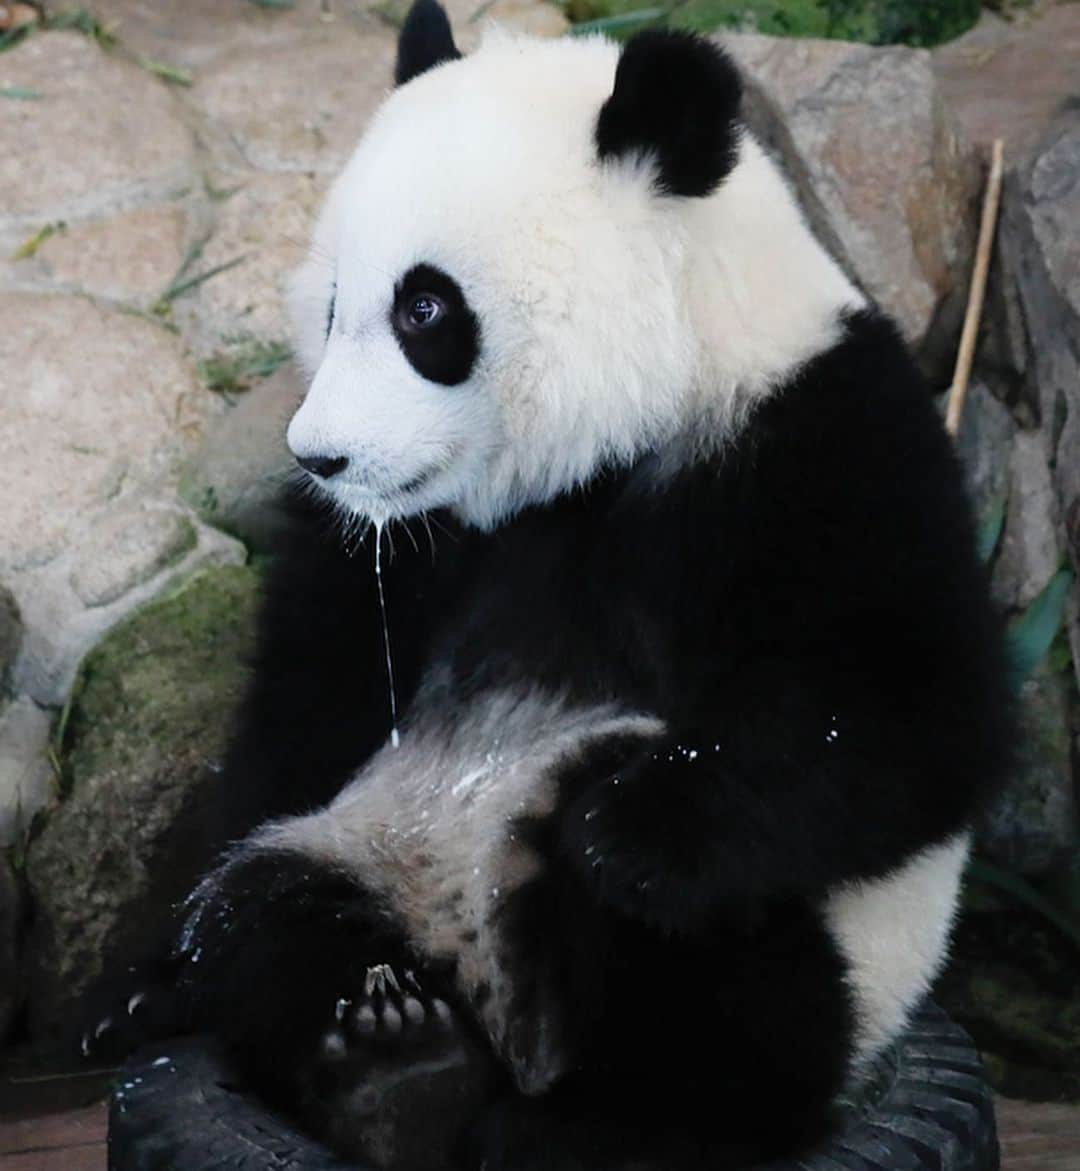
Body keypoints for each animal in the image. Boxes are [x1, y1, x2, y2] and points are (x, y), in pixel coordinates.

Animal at [88, 4, 1007, 1166]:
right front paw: (148, 982)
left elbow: (914, 709)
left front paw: (634, 833)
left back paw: (598, 1113)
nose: (321, 457)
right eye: (333, 302)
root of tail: (482, 988)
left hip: (832, 953)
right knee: (271, 909)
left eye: (424, 309)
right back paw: (395, 1062)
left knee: (714, 980)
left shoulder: (812, 437)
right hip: (367, 841)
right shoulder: (400, 547)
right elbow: (308, 709)